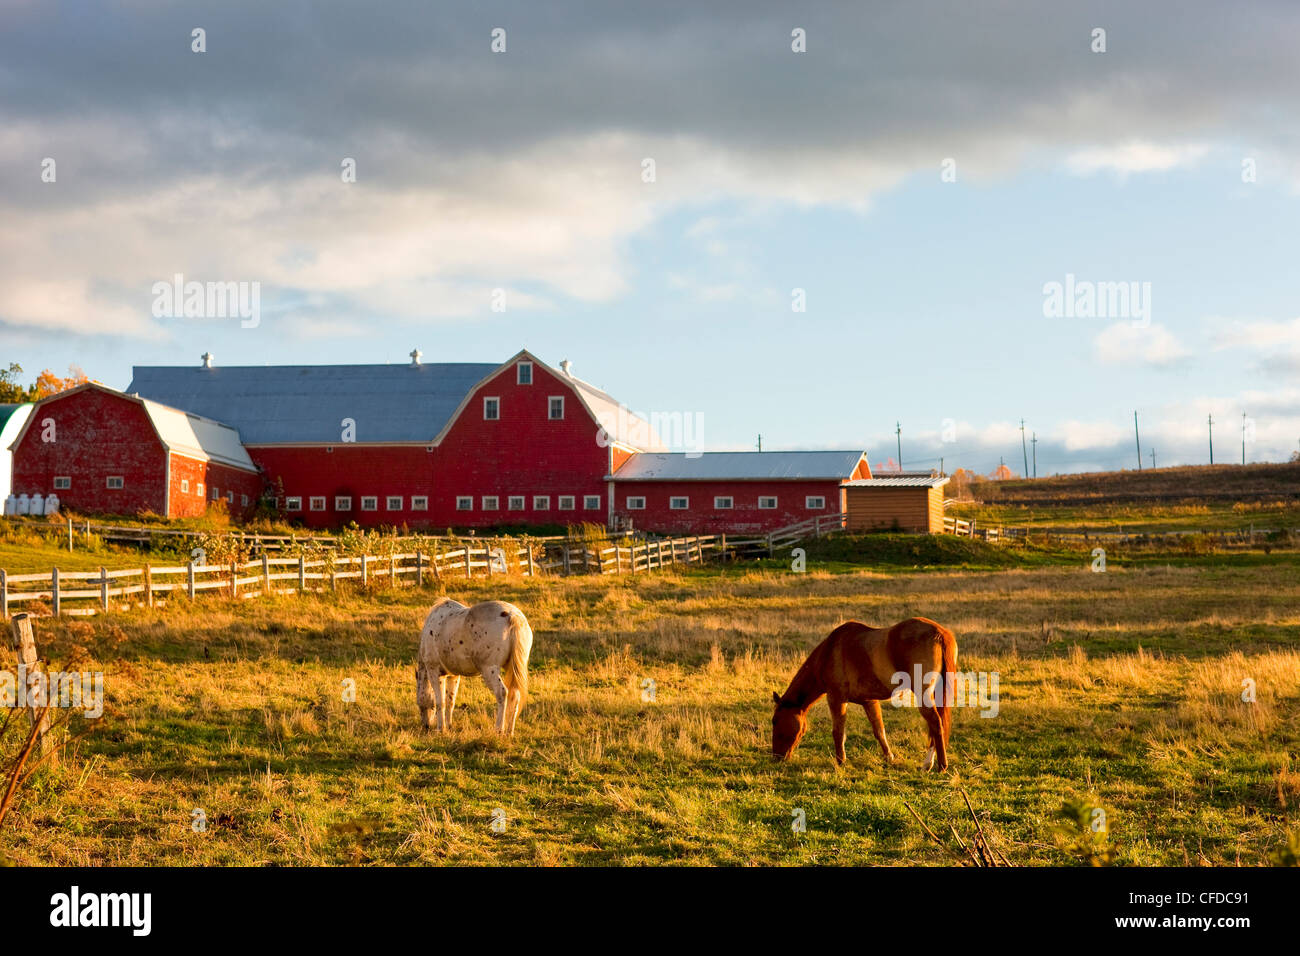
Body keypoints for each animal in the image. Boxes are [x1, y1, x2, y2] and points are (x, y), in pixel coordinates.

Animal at [418, 595, 535, 738]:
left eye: (420, 705)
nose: (426, 726)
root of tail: (512, 616)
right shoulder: (453, 675)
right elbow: (450, 701)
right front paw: (449, 726)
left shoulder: (434, 671)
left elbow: (440, 702)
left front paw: (441, 729)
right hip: (511, 669)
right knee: (515, 695)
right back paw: (509, 732)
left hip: (489, 669)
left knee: (502, 693)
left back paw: (499, 729)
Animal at [769, 621, 956, 770]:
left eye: (775, 721)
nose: (776, 757)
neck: (829, 651)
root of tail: (940, 634)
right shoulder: (869, 701)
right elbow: (879, 730)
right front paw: (889, 758)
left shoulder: (836, 699)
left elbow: (838, 732)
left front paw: (841, 761)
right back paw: (929, 764)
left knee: (936, 723)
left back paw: (939, 766)